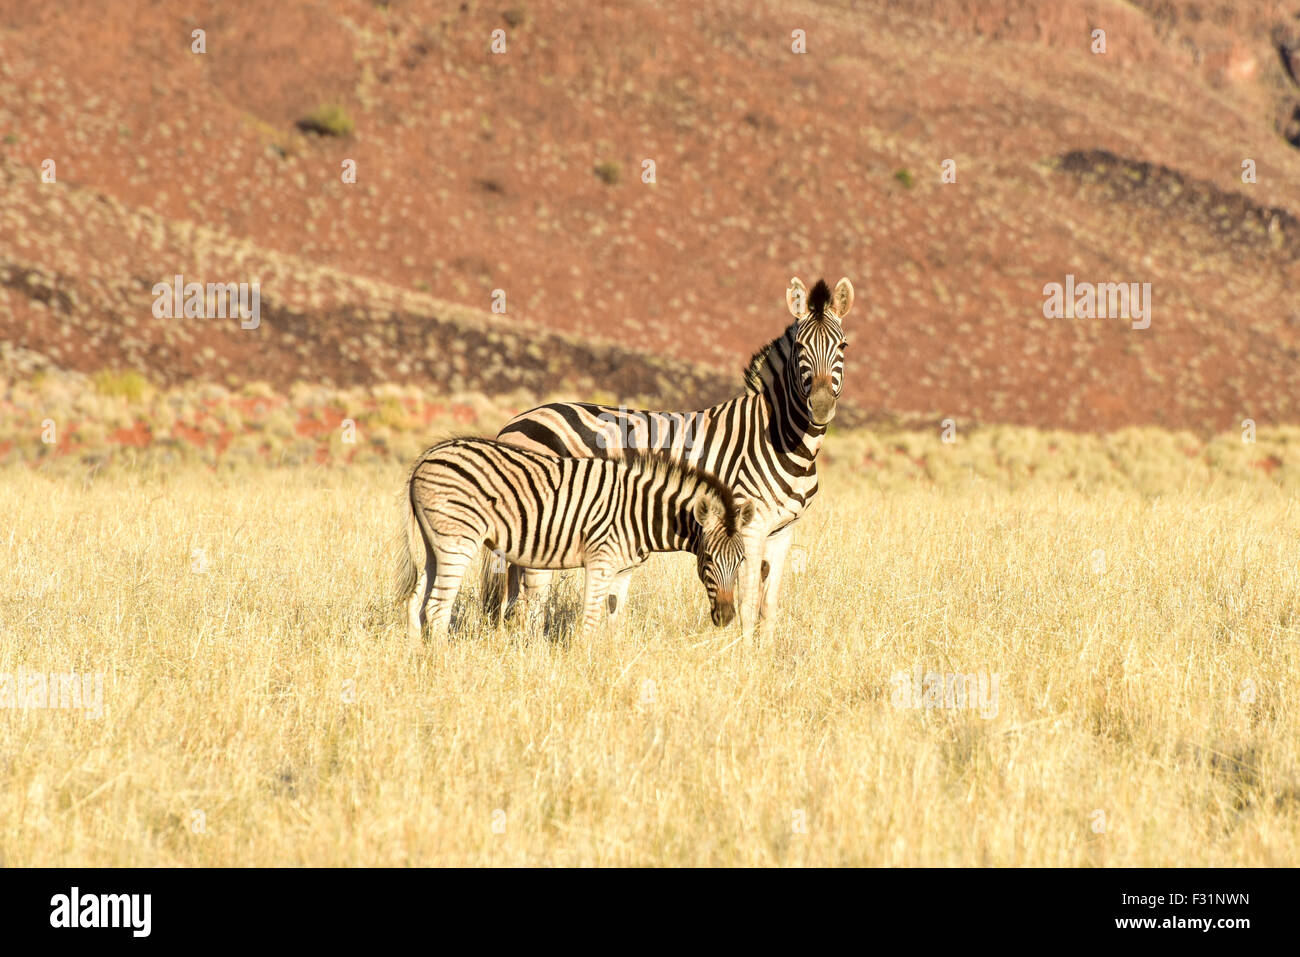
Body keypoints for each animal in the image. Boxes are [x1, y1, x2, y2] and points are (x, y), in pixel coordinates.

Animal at [398, 437, 755, 641]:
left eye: (741, 561)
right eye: (708, 559)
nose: (726, 618)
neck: (639, 511)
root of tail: (425, 457)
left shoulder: (623, 570)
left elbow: (613, 616)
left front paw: (609, 658)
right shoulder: (601, 561)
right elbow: (591, 617)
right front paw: (585, 664)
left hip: (434, 544)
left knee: (417, 602)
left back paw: (418, 662)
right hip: (457, 541)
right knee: (438, 608)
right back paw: (443, 665)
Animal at [485, 276, 853, 638]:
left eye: (843, 347)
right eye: (800, 348)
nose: (821, 407)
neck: (783, 439)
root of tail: (514, 421)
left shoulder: (783, 531)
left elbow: (769, 605)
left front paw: (764, 652)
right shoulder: (751, 524)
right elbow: (748, 600)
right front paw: (742, 652)